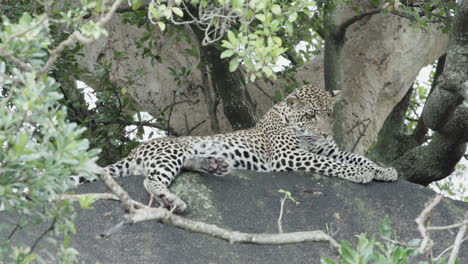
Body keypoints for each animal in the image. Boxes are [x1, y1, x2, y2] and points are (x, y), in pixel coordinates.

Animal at [75, 84, 396, 212]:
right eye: (309, 116)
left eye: (330, 114)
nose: (326, 131)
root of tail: (133, 152)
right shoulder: (290, 156)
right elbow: (338, 164)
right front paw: (359, 174)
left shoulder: (327, 149)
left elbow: (354, 156)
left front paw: (384, 170)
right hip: (169, 152)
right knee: (149, 180)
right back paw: (171, 199)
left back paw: (213, 164)